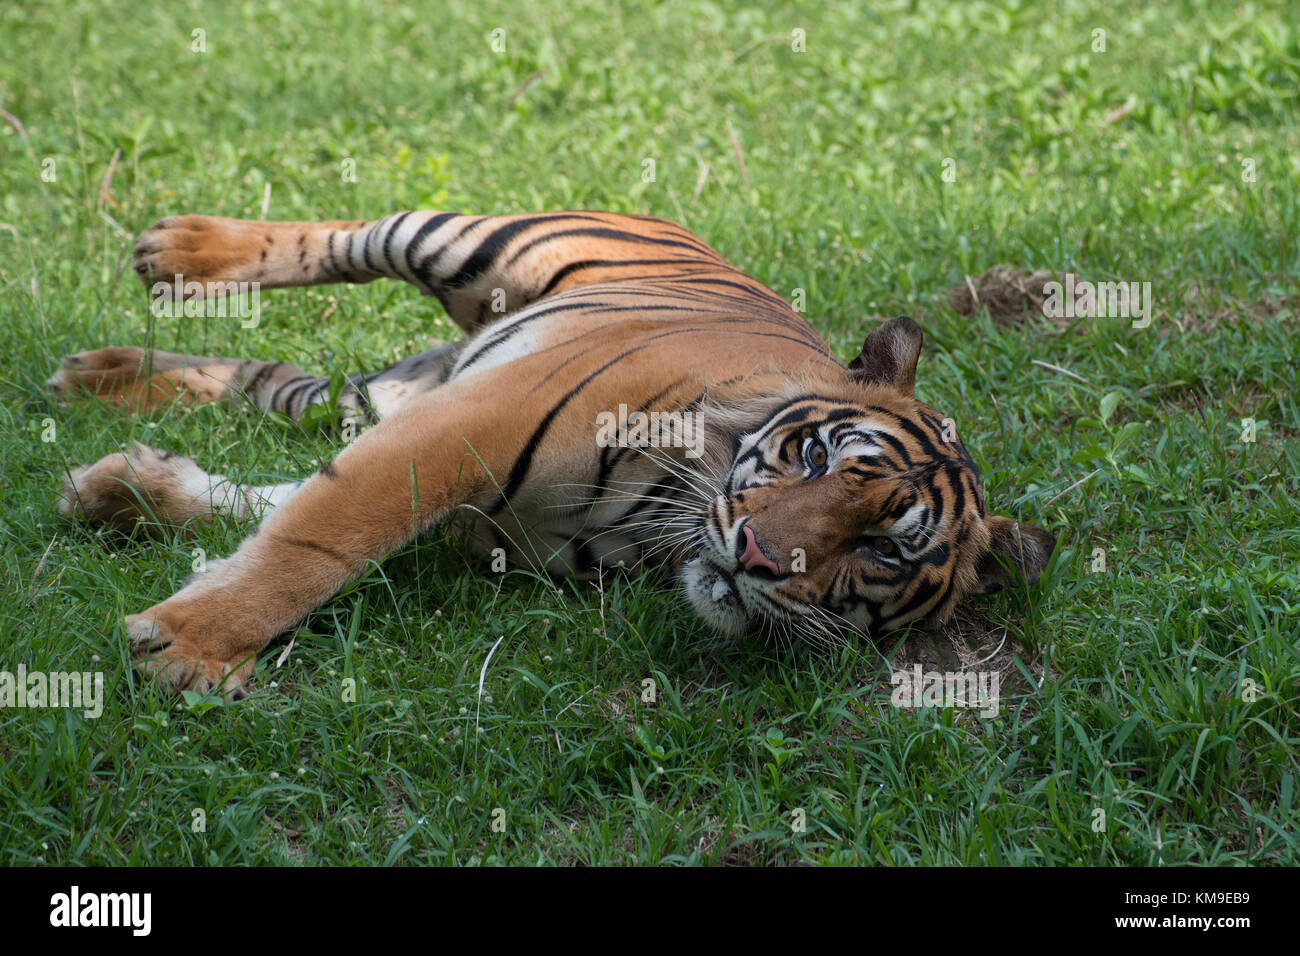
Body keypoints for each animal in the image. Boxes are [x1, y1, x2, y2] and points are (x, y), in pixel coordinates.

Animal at [48, 210, 1055, 702]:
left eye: (881, 548)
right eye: (811, 456)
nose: (756, 557)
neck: (660, 524)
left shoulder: (465, 499)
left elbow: (284, 504)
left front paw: (138, 495)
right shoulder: (468, 424)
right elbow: (323, 535)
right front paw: (191, 648)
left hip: (377, 391)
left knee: (283, 384)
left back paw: (101, 400)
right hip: (459, 243)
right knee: (335, 240)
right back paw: (177, 249)